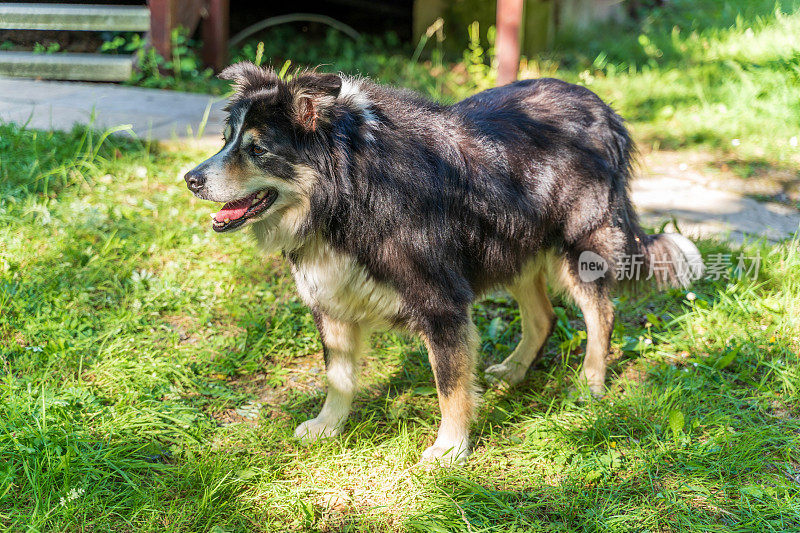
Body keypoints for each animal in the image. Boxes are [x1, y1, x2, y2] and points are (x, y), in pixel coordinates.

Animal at [184, 61, 704, 462]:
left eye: (258, 149)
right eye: (226, 139)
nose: (190, 178)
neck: (347, 194)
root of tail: (604, 108)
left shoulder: (442, 302)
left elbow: (450, 385)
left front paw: (450, 450)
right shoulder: (330, 300)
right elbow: (339, 375)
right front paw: (328, 426)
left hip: (581, 246)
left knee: (602, 314)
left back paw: (589, 385)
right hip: (513, 247)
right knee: (544, 316)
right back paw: (514, 371)